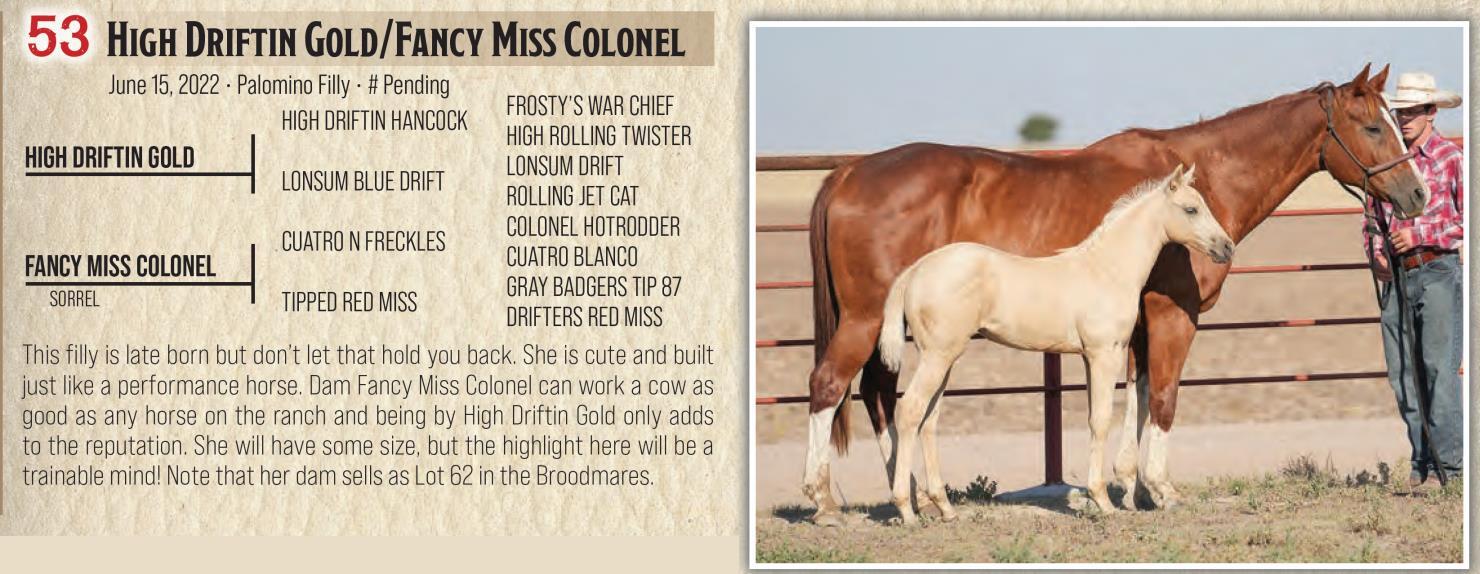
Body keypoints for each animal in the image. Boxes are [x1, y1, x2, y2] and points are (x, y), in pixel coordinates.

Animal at [876, 164, 1230, 523]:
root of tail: (916, 270)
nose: (1226, 247)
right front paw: (1102, 501)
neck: (1107, 270)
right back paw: (906, 510)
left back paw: (946, 508)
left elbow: (1093, 418)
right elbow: (1101, 419)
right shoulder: (1105, 354)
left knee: (929, 420)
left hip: (944, 358)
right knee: (910, 410)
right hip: (937, 356)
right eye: (1191, 209)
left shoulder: (1090, 357)